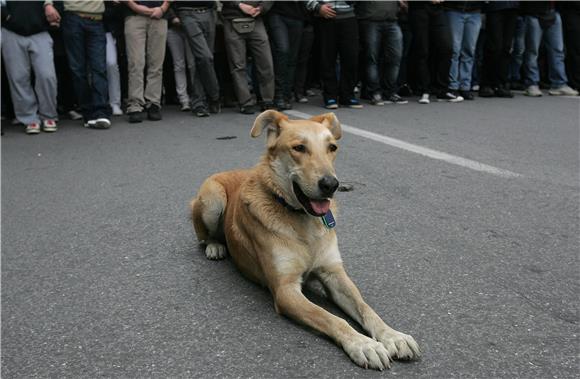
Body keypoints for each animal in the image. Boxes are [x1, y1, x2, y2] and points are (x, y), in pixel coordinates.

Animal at [190, 110, 422, 372]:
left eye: (332, 147)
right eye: (299, 148)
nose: (331, 184)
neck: (302, 220)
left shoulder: (333, 273)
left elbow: (366, 308)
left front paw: (393, 335)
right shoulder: (285, 290)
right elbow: (333, 318)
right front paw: (363, 344)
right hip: (212, 198)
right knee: (203, 236)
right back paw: (215, 246)